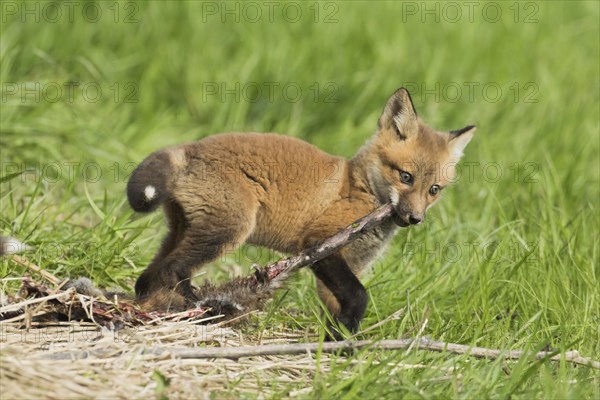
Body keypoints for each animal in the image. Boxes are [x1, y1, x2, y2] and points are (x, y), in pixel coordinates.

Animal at [126, 88, 474, 338]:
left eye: (434, 190)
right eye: (406, 177)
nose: (415, 219)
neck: (358, 188)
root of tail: (190, 147)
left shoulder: (349, 266)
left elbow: (340, 308)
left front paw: (338, 344)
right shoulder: (320, 244)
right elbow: (359, 296)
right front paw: (343, 343)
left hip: (183, 230)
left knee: (148, 276)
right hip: (226, 231)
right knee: (172, 270)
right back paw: (196, 305)